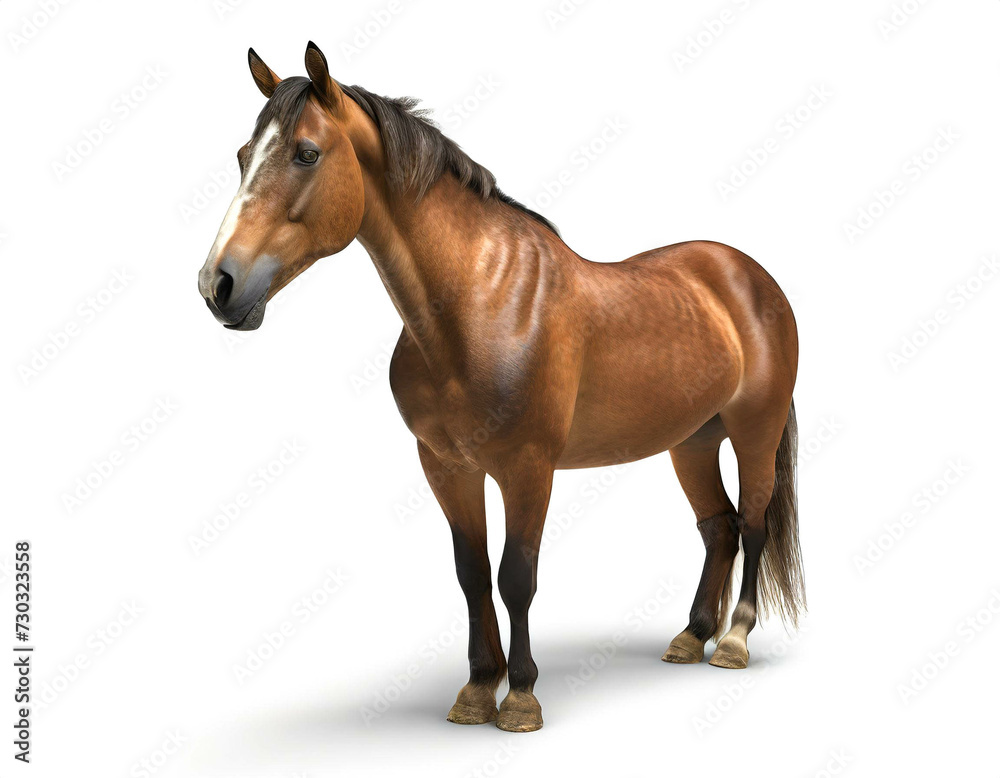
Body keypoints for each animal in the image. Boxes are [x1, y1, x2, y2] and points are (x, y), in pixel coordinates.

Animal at [197, 42, 805, 733]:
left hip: (754, 431)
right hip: (692, 441)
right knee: (717, 527)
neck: (480, 305)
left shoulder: (527, 467)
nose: (218, 285)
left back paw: (733, 641)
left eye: (305, 153)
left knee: (752, 525)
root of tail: (746, 275)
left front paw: (520, 699)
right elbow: (472, 572)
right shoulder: (446, 466)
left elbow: (517, 575)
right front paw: (475, 691)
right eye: (244, 155)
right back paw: (690, 636)